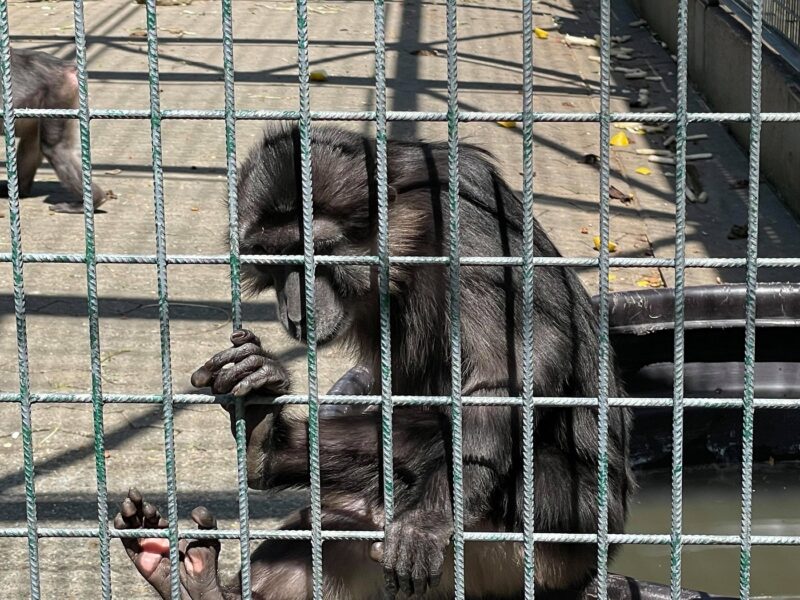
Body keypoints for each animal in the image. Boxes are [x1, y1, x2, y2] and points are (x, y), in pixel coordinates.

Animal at [115, 124, 634, 599]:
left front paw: (429, 517)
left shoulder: (469, 217)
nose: (297, 304)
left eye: (317, 254)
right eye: (277, 257)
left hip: (556, 538)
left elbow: (506, 368)